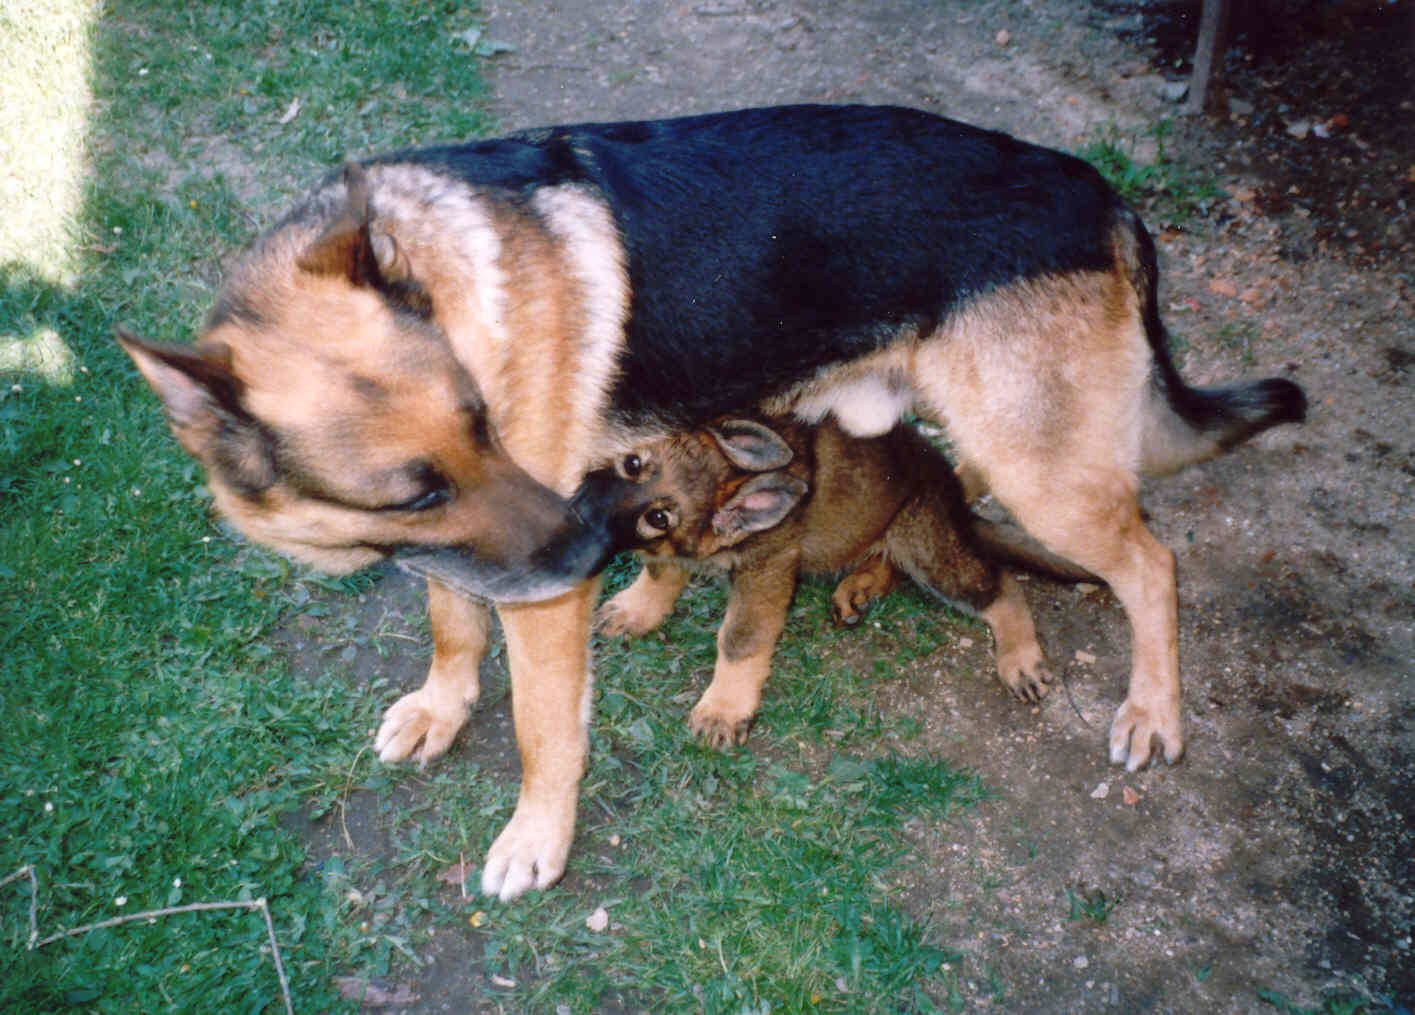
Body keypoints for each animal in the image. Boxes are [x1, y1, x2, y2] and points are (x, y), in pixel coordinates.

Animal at [121, 104, 1301, 894]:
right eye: (415, 492)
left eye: (484, 423)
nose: (585, 548)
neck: (449, 288)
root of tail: (1103, 192)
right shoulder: (472, 552)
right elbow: (451, 619)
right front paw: (443, 703)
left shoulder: (534, 589)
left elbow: (543, 725)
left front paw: (535, 837)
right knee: (959, 495)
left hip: (1042, 467)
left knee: (1147, 561)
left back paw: (1151, 709)